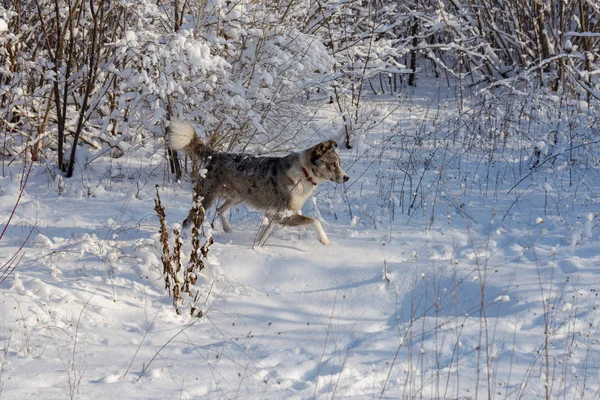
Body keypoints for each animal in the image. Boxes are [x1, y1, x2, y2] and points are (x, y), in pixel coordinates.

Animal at [166, 119, 350, 245]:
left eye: (339, 163)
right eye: (332, 164)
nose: (346, 177)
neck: (305, 172)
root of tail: (214, 154)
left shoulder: (272, 216)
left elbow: (263, 236)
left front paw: (257, 249)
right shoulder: (283, 214)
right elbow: (314, 220)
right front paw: (324, 240)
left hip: (237, 196)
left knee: (219, 210)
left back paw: (228, 229)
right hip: (205, 199)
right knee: (187, 221)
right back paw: (183, 240)